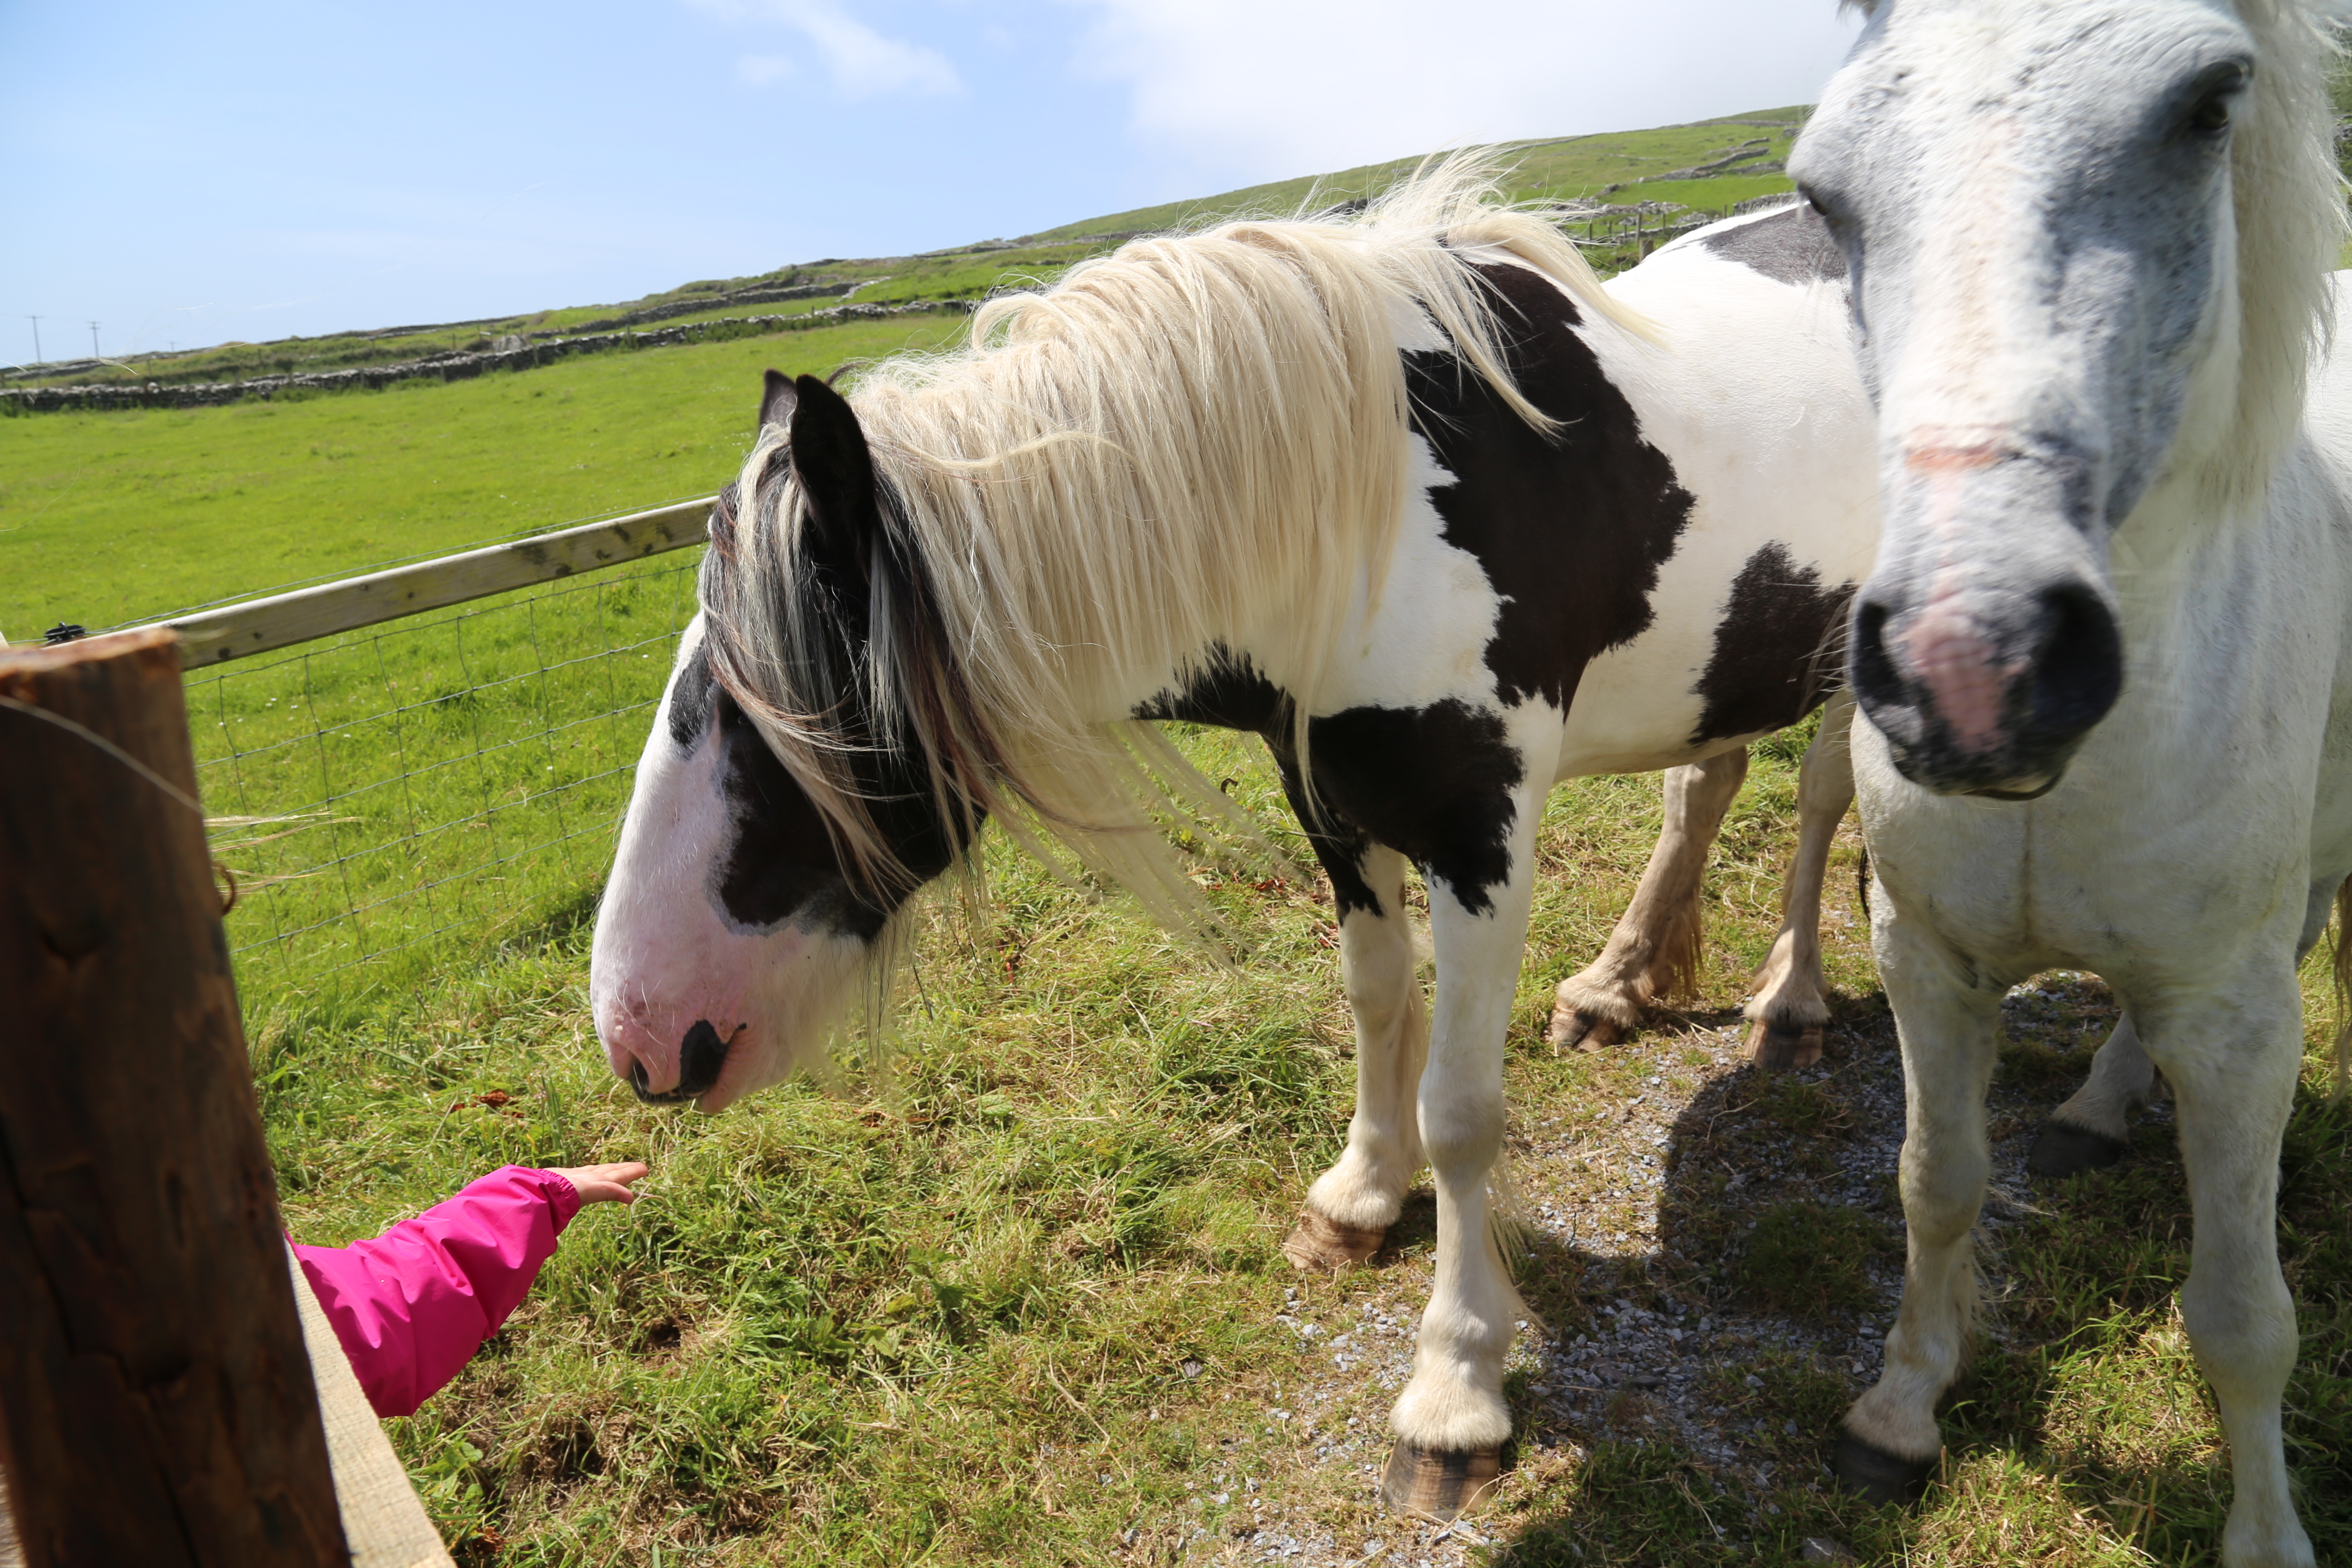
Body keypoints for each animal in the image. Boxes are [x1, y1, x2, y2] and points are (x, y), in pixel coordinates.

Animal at [583, 172, 1872, 1523]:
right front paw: (1359, 1198)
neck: (1386, 503)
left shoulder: (1482, 833)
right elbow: (1374, 1002)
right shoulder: (1331, 805)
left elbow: (1462, 1107)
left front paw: (1454, 1390)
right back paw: (1615, 985)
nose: (639, 1034)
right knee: (1705, 783)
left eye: (772, 713)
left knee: (1822, 797)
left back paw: (1789, 1002)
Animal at [1787, 6, 2343, 1561]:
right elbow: (1936, 1185)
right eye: (1822, 193)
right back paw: (2098, 1106)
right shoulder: (1925, 958)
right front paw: (1900, 1412)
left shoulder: (2238, 1018)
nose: (1974, 663)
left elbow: (2243, 1315)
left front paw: (2266, 1534)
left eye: (2207, 107)